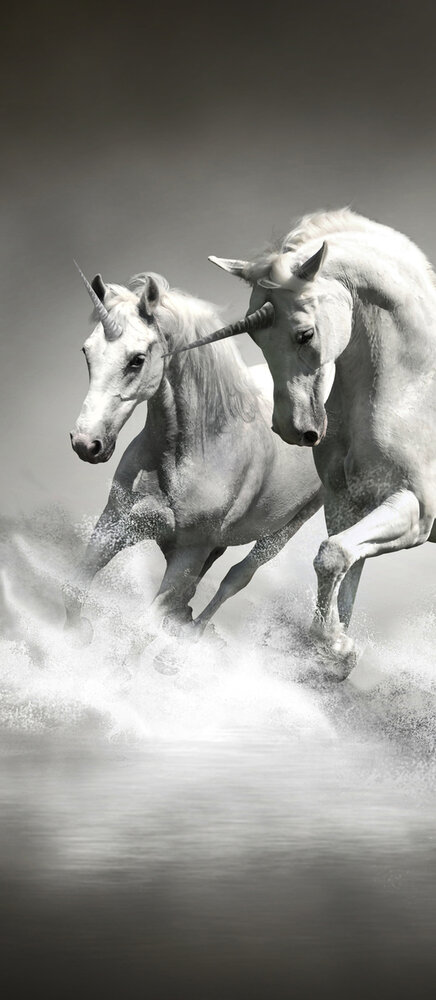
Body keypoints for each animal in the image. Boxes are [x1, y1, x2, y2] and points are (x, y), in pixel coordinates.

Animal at [65, 265, 322, 644]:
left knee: (237, 577)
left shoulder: (188, 554)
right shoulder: (115, 524)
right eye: (87, 351)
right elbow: (74, 588)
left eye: (137, 360)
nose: (86, 443)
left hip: (286, 529)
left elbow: (144, 629)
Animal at [169, 208, 436, 678]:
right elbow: (340, 568)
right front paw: (335, 651)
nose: (291, 430)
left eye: (305, 334)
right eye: (257, 337)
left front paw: (335, 648)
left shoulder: (417, 510)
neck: (413, 389)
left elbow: (332, 556)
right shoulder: (349, 507)